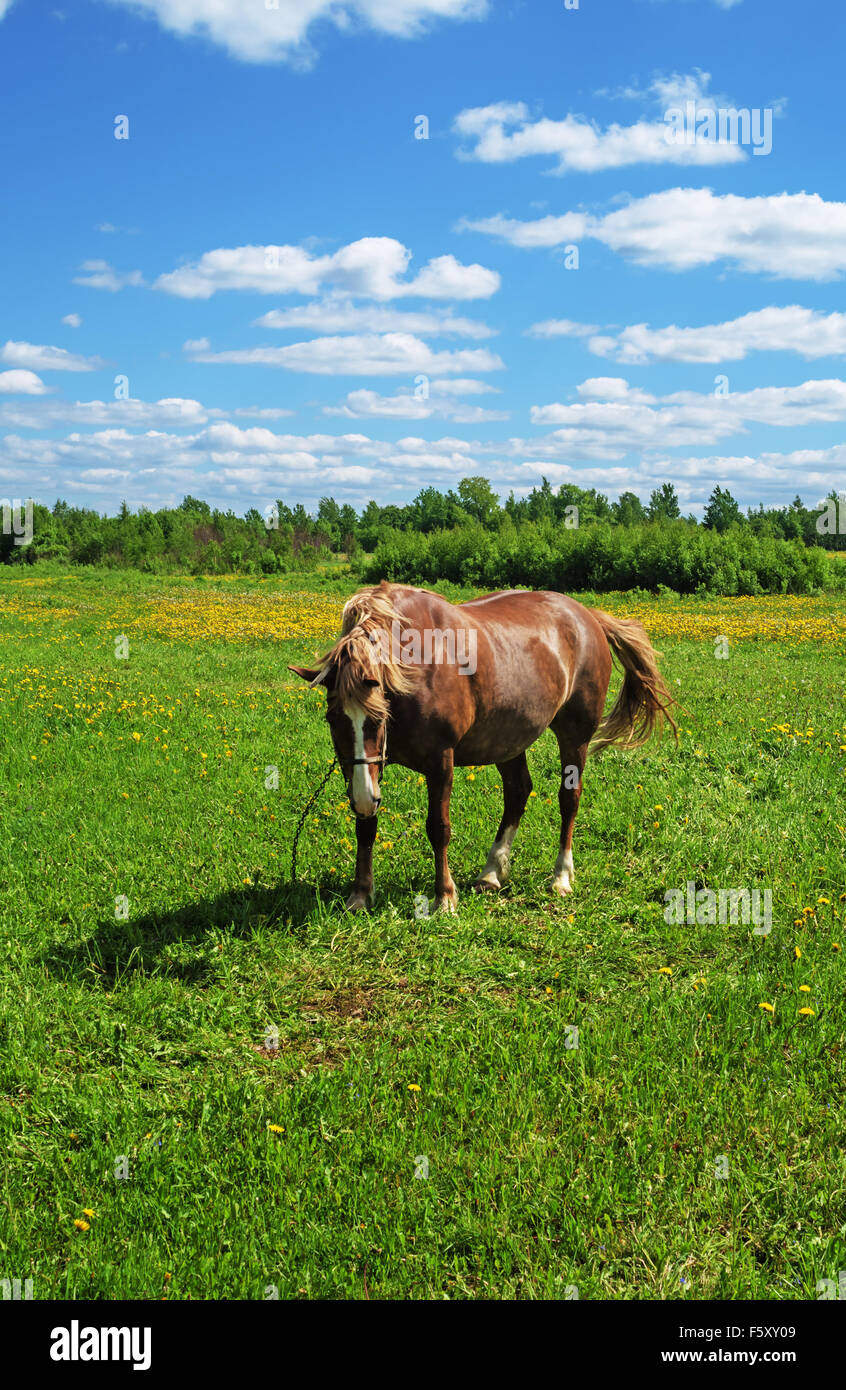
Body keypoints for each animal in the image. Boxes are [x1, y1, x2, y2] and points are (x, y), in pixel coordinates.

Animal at [288, 578, 672, 911]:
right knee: (518, 792)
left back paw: (561, 876)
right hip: (507, 739)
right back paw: (491, 872)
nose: (367, 798)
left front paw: (445, 896)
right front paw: (360, 895)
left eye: (379, 718)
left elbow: (438, 828)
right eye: (333, 719)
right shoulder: (361, 769)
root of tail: (587, 616)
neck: (415, 663)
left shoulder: (439, 761)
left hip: (574, 735)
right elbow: (365, 827)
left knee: (569, 799)